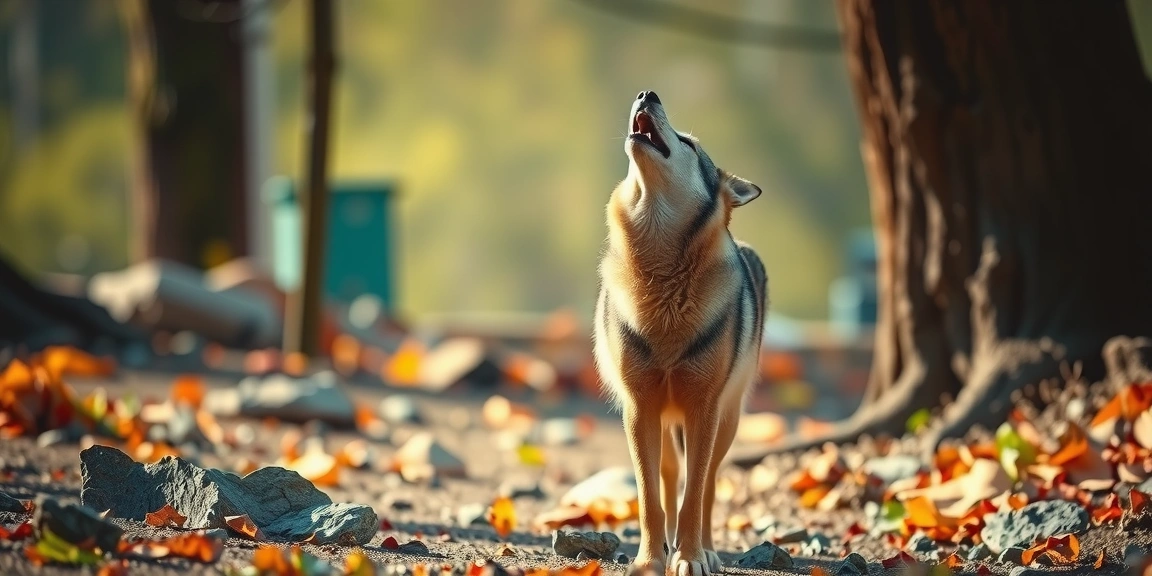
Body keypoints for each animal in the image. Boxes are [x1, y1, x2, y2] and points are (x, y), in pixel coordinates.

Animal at [593, 91, 767, 576]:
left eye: (689, 144)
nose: (646, 93)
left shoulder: (703, 409)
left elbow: (696, 496)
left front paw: (690, 558)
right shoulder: (639, 408)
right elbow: (649, 499)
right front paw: (650, 559)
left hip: (726, 421)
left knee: (706, 486)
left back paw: (705, 549)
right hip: (665, 423)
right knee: (669, 478)